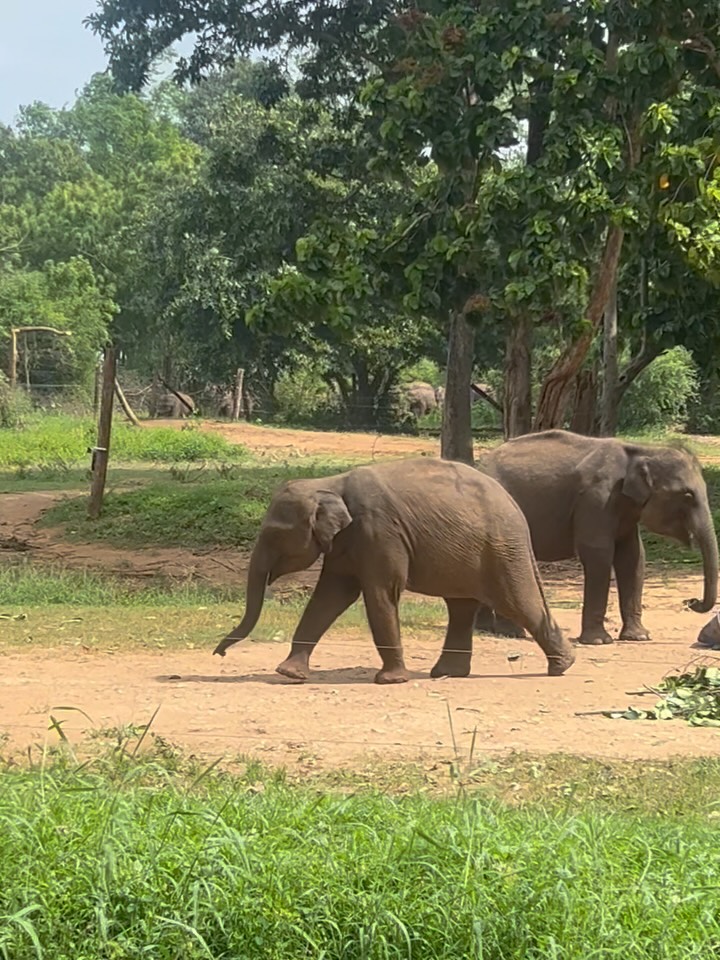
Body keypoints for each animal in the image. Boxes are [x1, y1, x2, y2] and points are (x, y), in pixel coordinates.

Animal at [213, 458, 576, 682]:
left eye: (274, 534)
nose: (218, 653)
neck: (330, 484)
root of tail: (515, 506)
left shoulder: (379, 531)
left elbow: (380, 593)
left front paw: (390, 680)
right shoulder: (348, 540)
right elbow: (330, 596)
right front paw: (289, 674)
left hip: (501, 550)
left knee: (516, 602)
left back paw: (561, 666)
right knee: (460, 606)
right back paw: (447, 673)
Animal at [474, 430, 719, 646]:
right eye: (687, 495)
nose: (692, 602)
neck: (640, 451)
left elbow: (633, 556)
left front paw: (639, 637)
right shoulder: (597, 499)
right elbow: (599, 553)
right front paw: (599, 641)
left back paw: (486, 629)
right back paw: (511, 633)